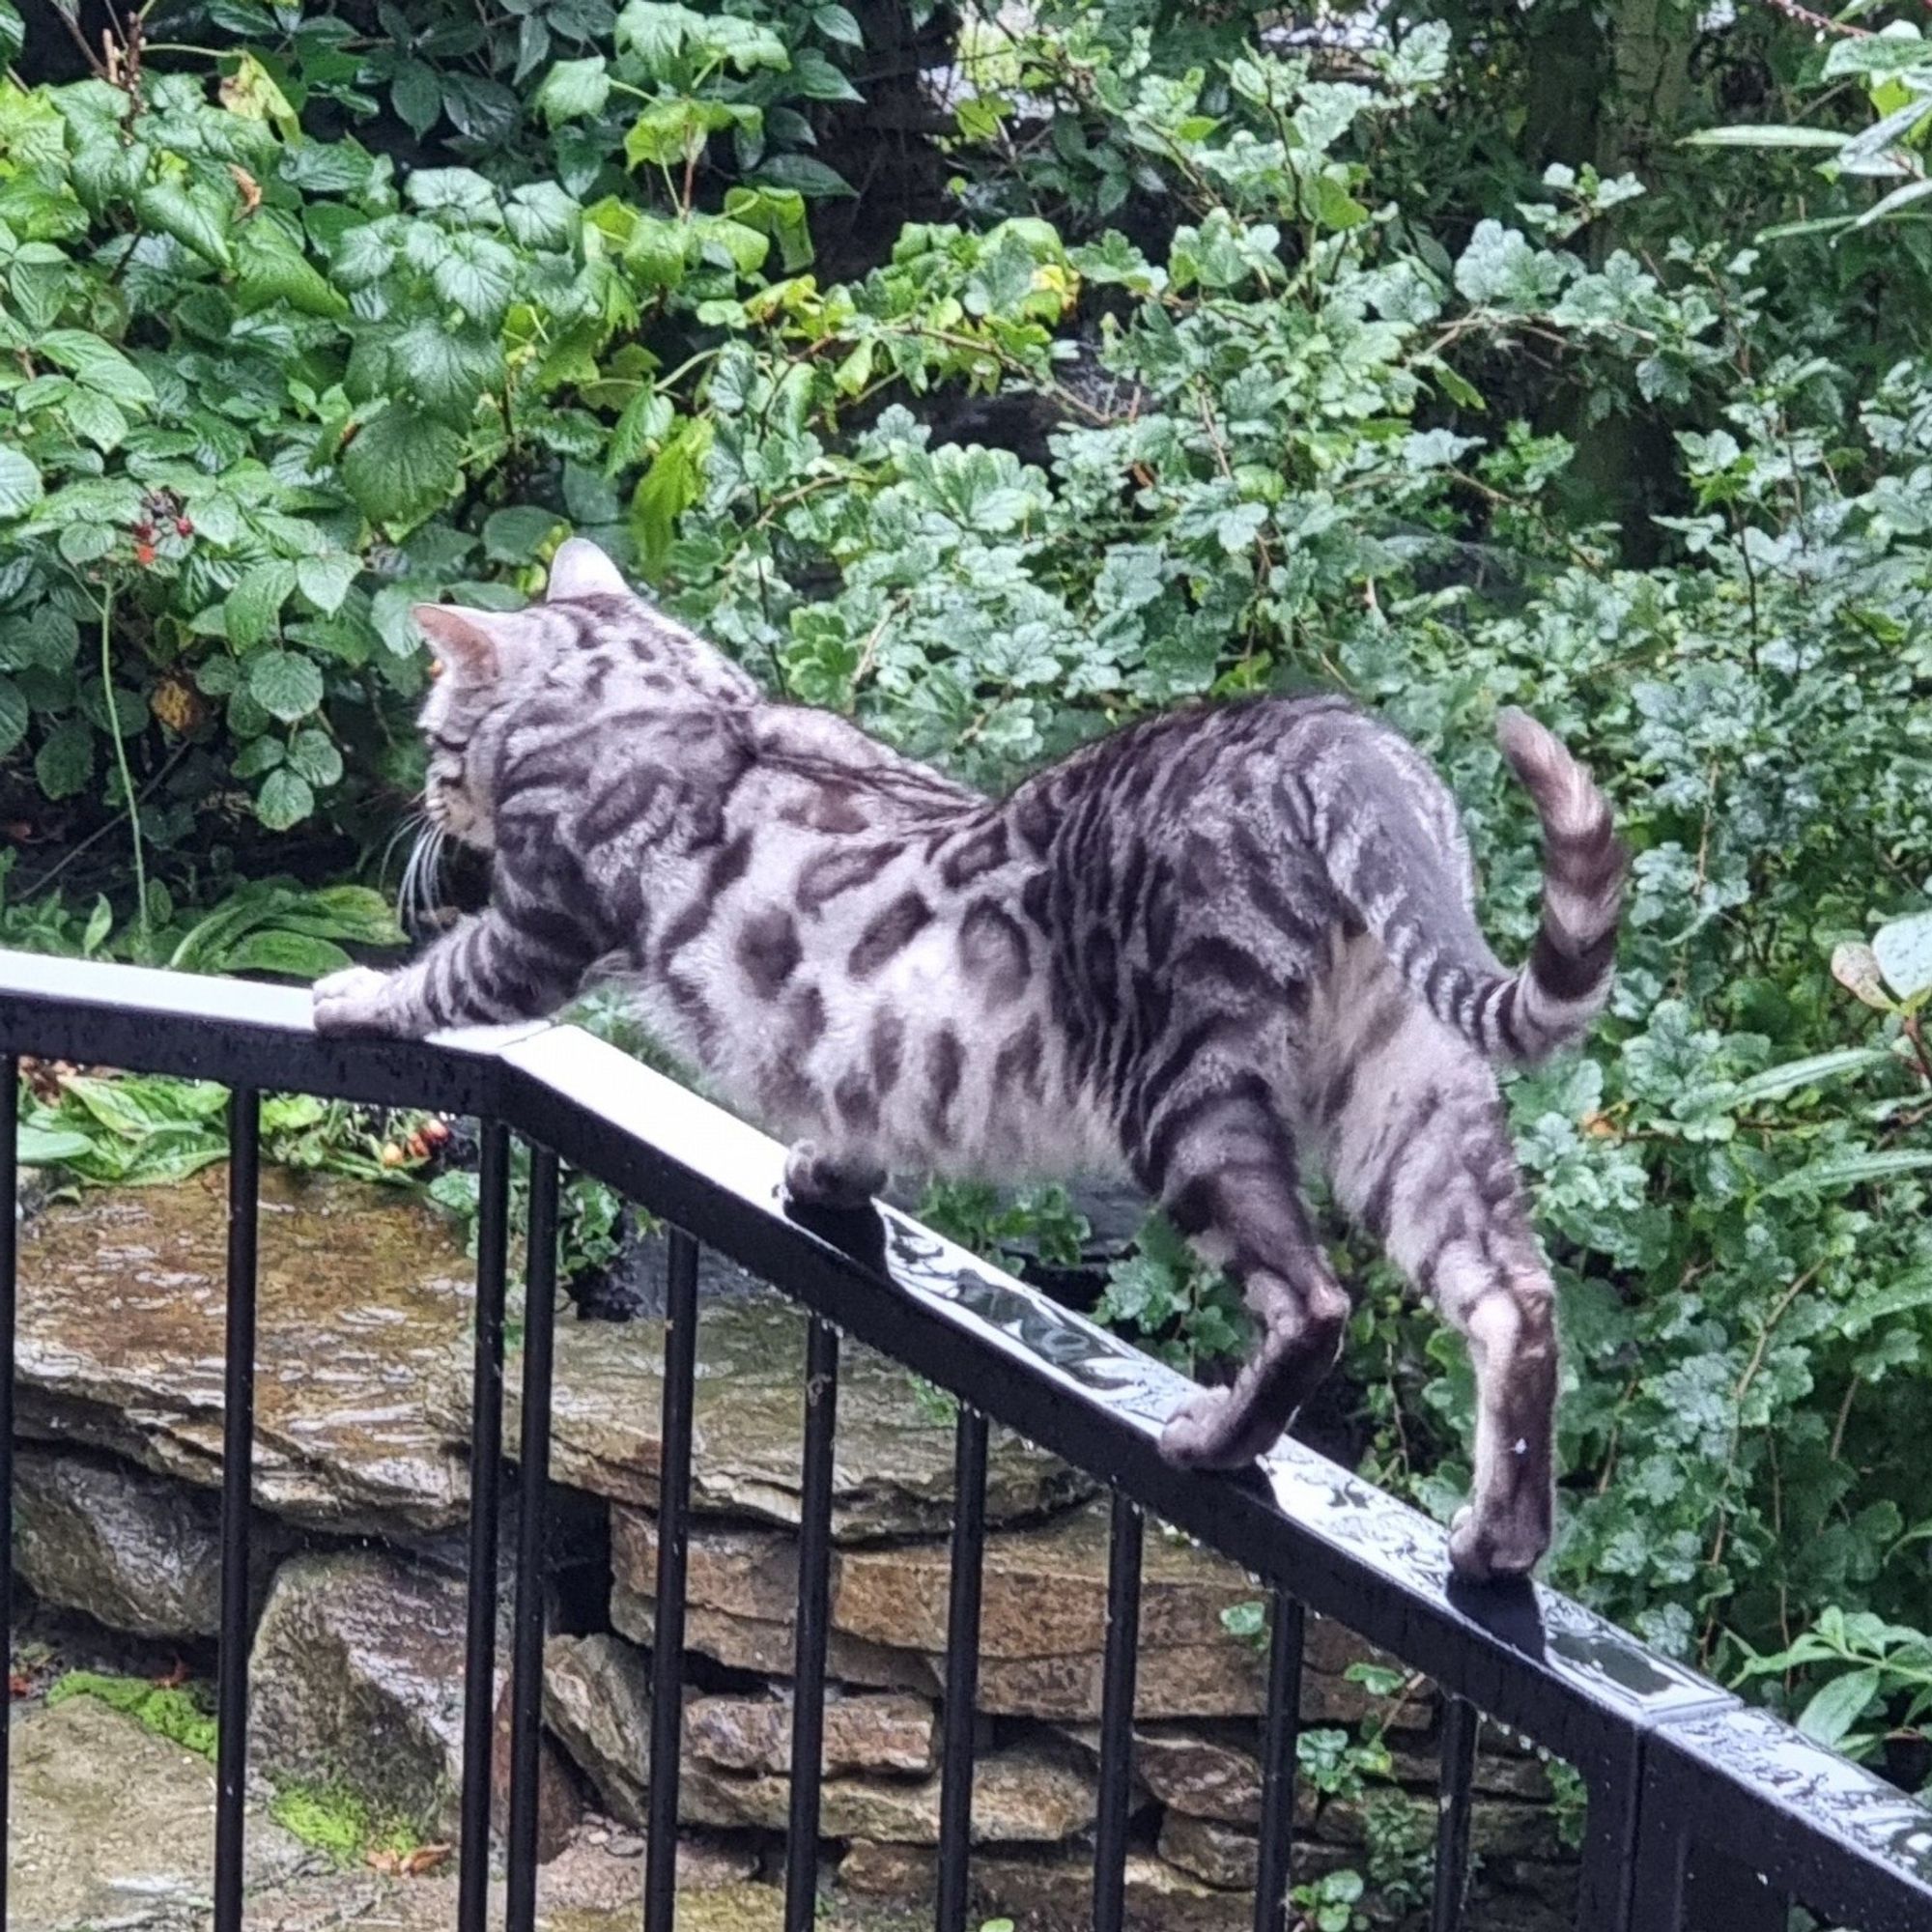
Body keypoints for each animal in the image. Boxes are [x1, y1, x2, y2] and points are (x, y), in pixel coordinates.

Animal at [321, 537, 1631, 1577]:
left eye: (437, 734)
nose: (428, 798)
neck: (666, 697)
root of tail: (1315, 732)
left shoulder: (537, 920)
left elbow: (441, 977)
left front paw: (350, 994)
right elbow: (850, 1107)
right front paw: (828, 1173)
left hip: (1187, 1095)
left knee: (1312, 1300)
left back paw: (1216, 1438)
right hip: (1408, 1088)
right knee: (1512, 1295)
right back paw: (1500, 1535)